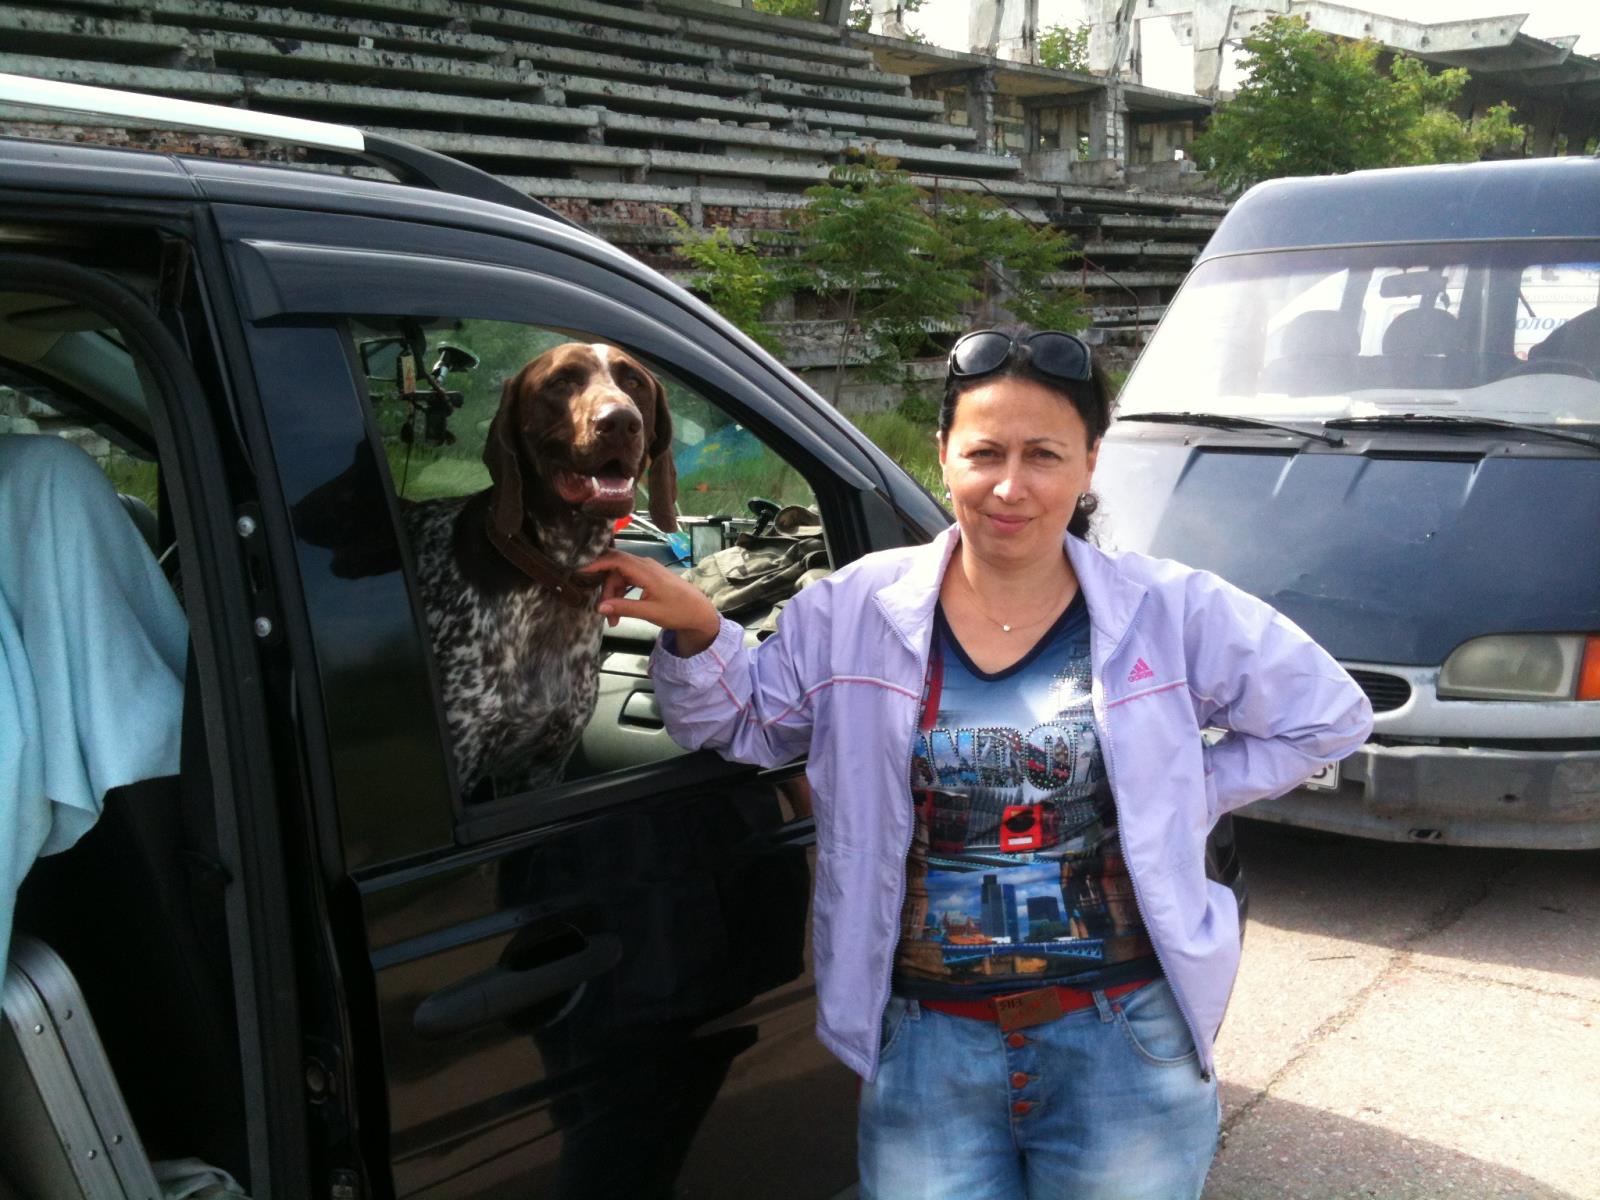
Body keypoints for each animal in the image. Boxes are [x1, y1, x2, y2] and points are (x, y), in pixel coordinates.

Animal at [403, 342, 676, 799]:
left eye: (634, 382)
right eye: (561, 381)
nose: (620, 422)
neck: (557, 578)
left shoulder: (541, 769)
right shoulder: (464, 758)